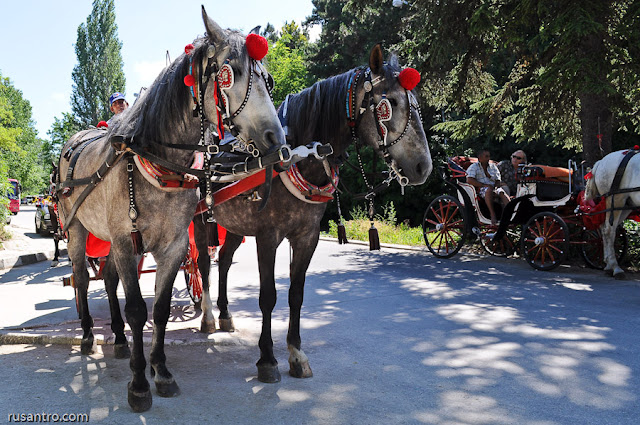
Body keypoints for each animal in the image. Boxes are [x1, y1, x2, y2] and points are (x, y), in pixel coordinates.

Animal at [55, 6, 284, 410]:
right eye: (230, 73)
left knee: (108, 280)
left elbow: (159, 310)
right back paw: (88, 338)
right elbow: (137, 309)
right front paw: (138, 383)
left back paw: (117, 340)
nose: (275, 138)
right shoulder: (126, 241)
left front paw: (159, 370)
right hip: (78, 230)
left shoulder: (174, 246)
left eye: (267, 79)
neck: (156, 162)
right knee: (82, 279)